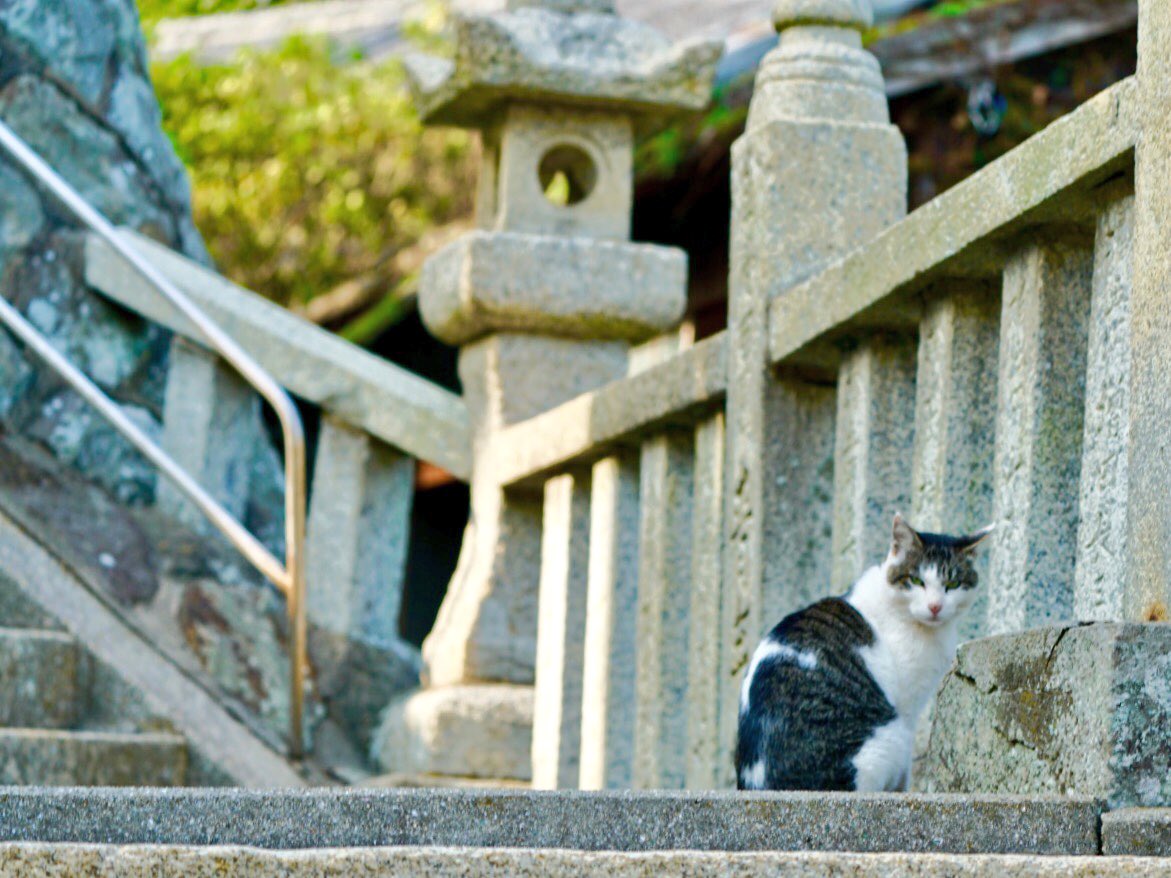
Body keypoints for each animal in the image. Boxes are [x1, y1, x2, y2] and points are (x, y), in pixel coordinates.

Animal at [736, 513, 993, 792]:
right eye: (916, 581)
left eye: (953, 584)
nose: (935, 606)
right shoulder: (907, 708)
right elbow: (906, 769)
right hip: (889, 737)